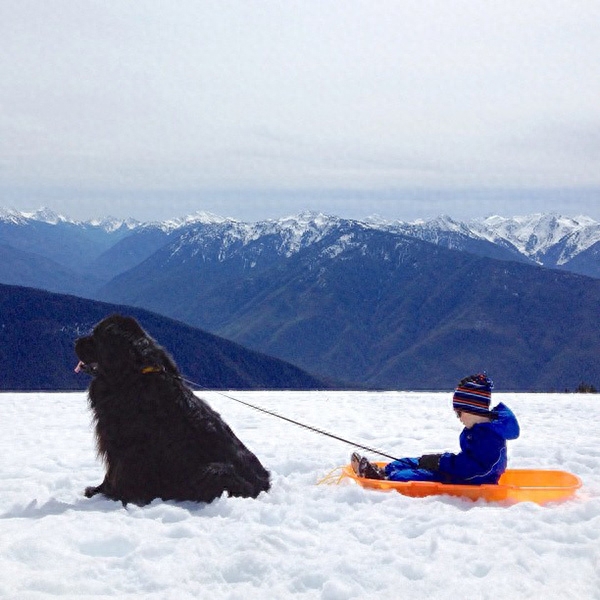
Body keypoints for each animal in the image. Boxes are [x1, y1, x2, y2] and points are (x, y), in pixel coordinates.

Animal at [74, 314, 270, 506]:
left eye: (96, 337)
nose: (76, 341)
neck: (132, 375)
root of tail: (264, 484)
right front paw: (98, 490)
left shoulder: (127, 445)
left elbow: (119, 471)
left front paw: (114, 496)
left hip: (216, 470)